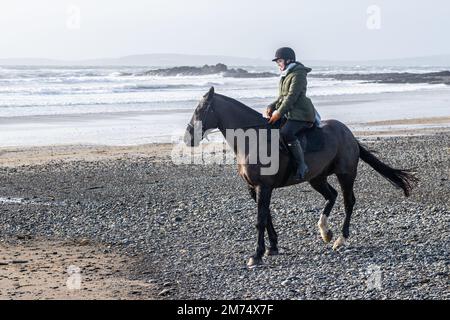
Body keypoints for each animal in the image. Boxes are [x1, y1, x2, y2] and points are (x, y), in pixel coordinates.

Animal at [184, 87, 418, 268]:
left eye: (200, 110)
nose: (188, 138)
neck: (253, 139)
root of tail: (348, 133)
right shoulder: (255, 189)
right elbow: (266, 216)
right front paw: (272, 247)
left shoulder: (263, 187)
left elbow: (260, 220)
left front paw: (256, 255)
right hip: (317, 178)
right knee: (331, 196)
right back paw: (325, 231)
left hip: (346, 174)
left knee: (348, 201)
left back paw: (340, 239)